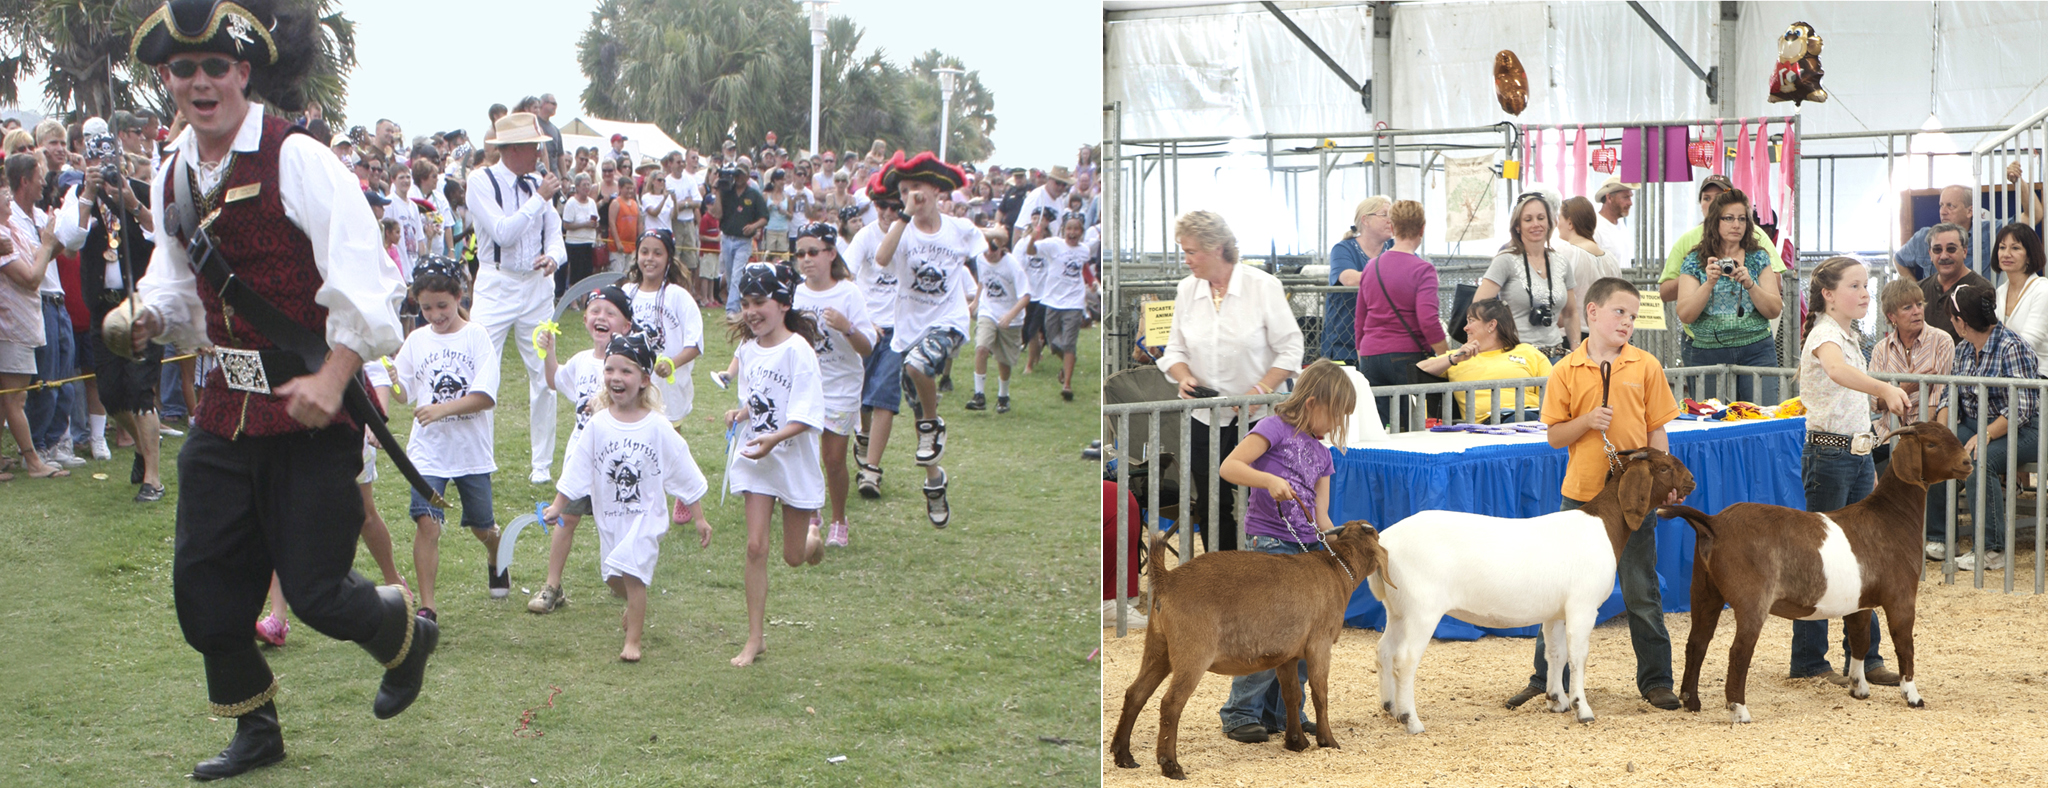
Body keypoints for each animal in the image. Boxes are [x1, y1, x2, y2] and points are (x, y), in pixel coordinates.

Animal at [1105, 521, 1392, 777]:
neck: (1337, 570)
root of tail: (1167, 579)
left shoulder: (1287, 655)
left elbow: (1291, 696)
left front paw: (1296, 742)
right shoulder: (1319, 645)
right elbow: (1320, 693)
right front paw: (1328, 741)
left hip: (1159, 647)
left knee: (1136, 693)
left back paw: (1123, 756)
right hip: (1193, 652)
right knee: (1171, 703)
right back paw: (1171, 766)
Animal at [1368, 448, 1687, 728]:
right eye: (1663, 467)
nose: (1691, 480)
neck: (1603, 526)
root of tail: (1384, 542)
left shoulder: (1556, 613)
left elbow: (1556, 653)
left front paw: (1557, 700)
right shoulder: (1582, 607)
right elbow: (1578, 656)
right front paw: (1582, 709)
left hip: (1397, 610)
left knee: (1384, 651)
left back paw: (1390, 707)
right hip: (1421, 610)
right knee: (1404, 659)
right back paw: (1411, 720)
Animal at [1654, 421, 1974, 720]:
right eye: (1931, 444)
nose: (1967, 462)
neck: (1890, 516)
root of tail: (1714, 523)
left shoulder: (1859, 602)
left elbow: (1860, 639)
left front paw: (1859, 688)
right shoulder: (1901, 596)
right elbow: (1904, 643)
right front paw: (1913, 696)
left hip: (1704, 589)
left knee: (1697, 642)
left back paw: (1691, 702)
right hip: (1751, 598)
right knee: (1739, 650)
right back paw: (1740, 711)